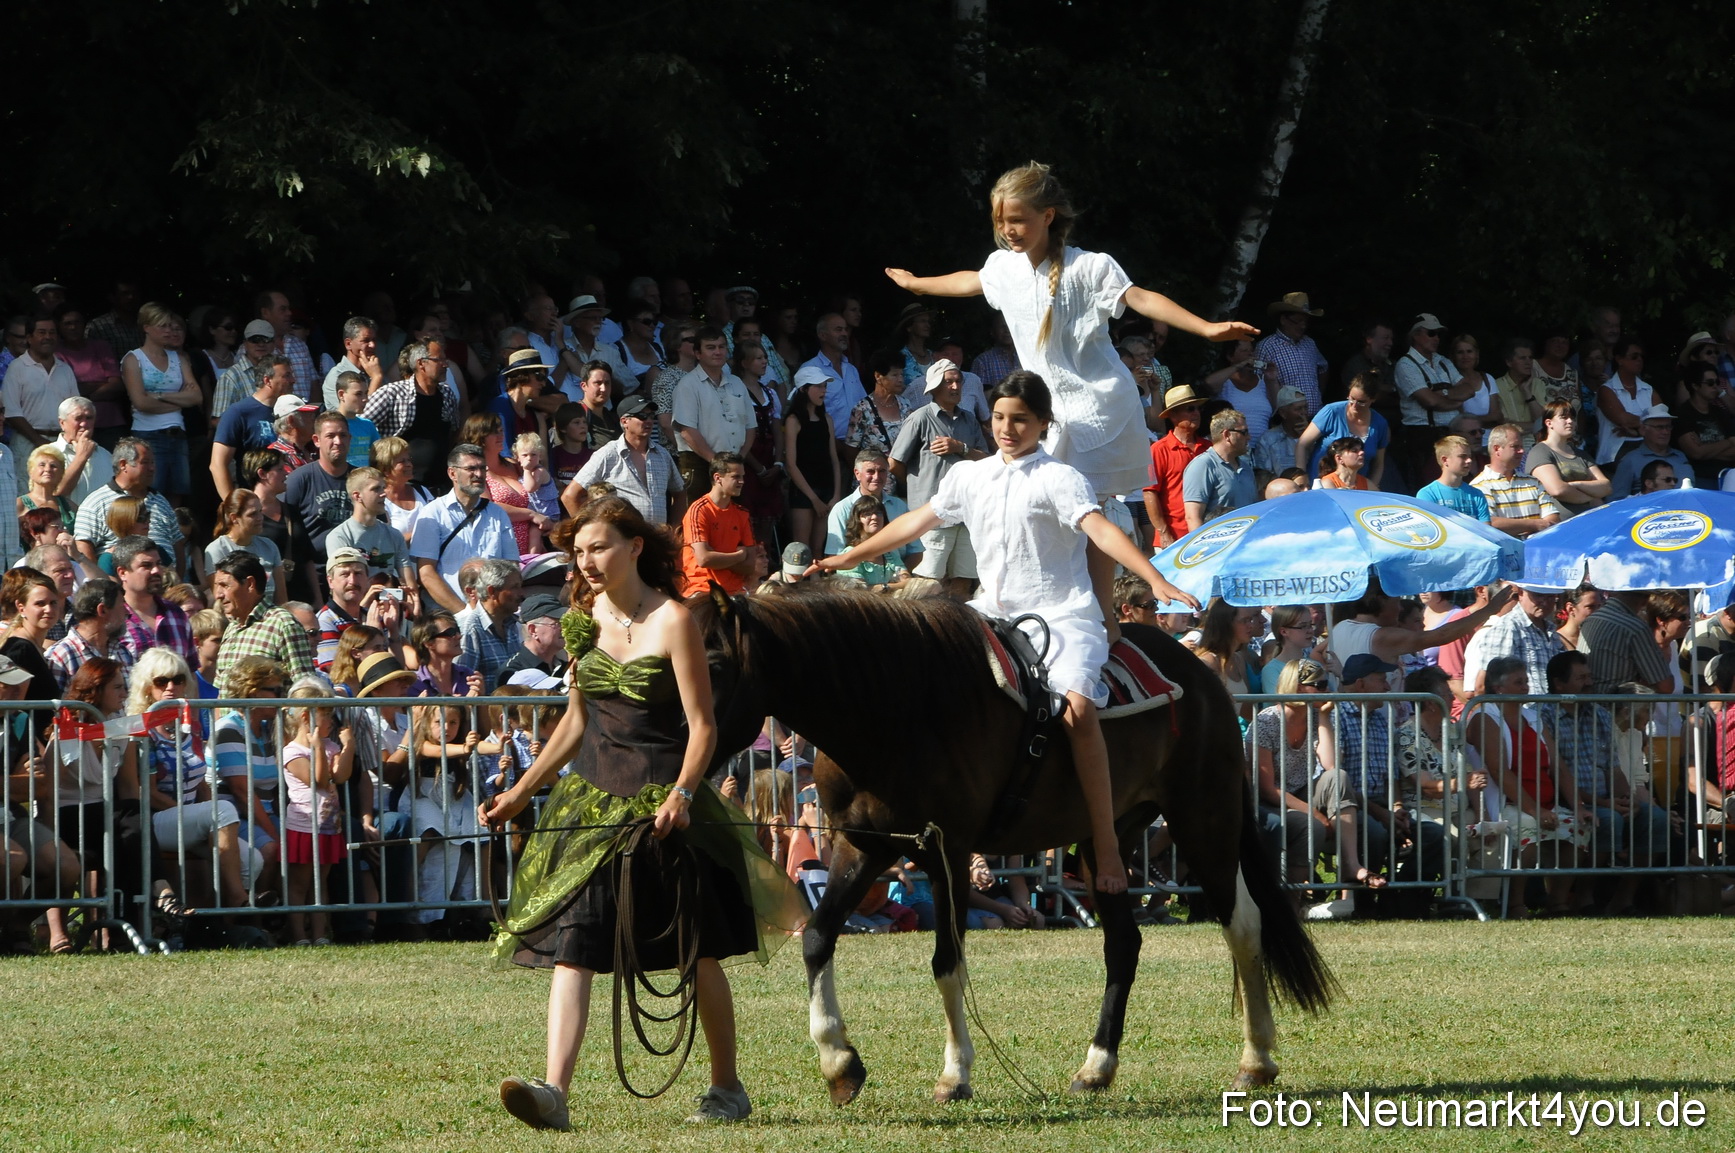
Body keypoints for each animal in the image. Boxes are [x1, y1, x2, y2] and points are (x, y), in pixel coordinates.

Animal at [695, 586, 1333, 1105]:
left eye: (716, 663)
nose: (688, 741)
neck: (896, 706)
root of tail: (1201, 678)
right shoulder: (863, 848)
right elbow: (817, 938)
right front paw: (839, 1064)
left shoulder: (947, 853)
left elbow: (946, 961)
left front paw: (955, 1074)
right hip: (1105, 841)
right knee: (1124, 944)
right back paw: (1097, 1067)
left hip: (1204, 819)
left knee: (1242, 925)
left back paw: (1256, 1059)